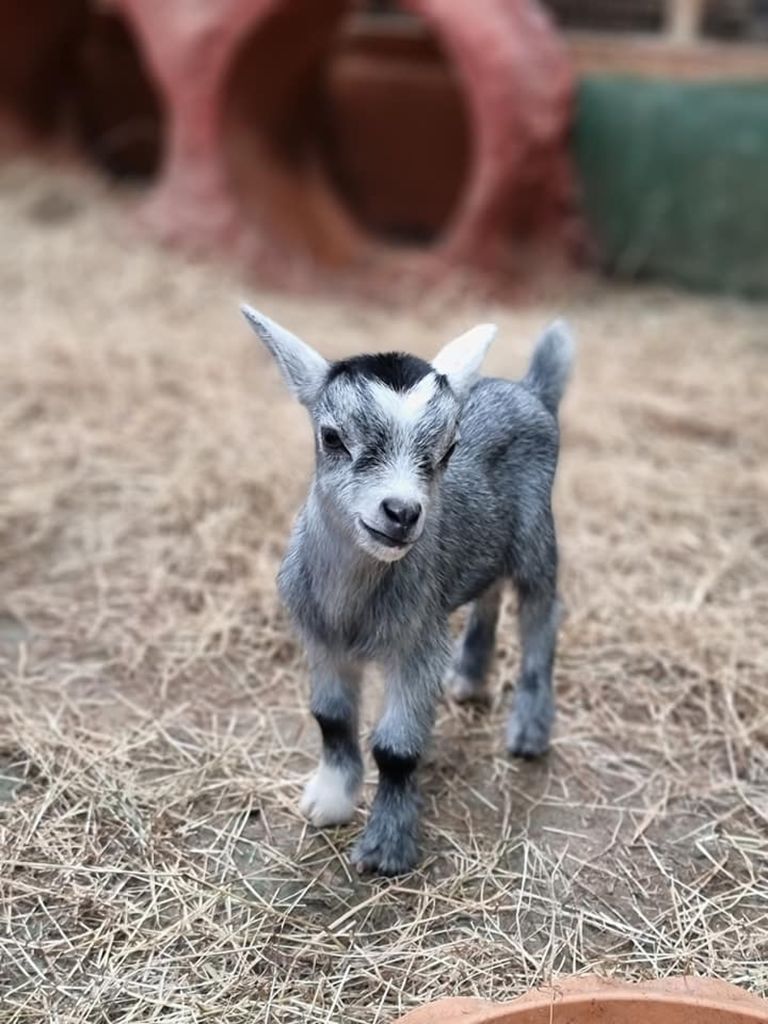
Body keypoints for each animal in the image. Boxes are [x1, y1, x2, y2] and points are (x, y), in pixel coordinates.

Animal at [241, 304, 573, 876]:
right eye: (332, 437)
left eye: (449, 449)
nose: (402, 512)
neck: (351, 607)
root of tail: (531, 390)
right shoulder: (321, 640)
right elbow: (331, 719)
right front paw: (329, 801)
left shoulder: (417, 645)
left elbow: (396, 750)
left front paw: (384, 850)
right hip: (487, 544)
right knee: (489, 591)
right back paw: (468, 678)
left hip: (536, 535)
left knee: (541, 612)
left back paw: (529, 733)